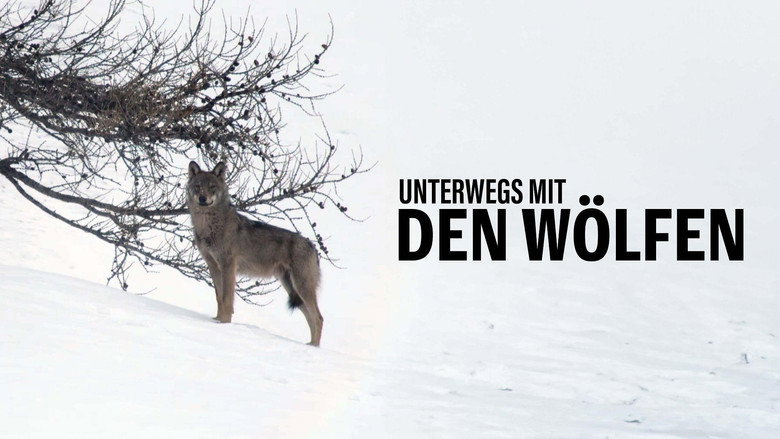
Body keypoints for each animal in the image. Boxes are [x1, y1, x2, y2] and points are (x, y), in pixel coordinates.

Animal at [186, 161, 323, 346]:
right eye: (198, 186)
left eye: (212, 187)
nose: (202, 198)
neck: (209, 226)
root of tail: (312, 245)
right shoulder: (213, 267)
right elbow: (219, 298)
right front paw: (217, 321)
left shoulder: (228, 266)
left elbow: (227, 299)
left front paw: (224, 324)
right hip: (292, 289)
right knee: (311, 319)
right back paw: (310, 345)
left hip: (302, 287)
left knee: (318, 318)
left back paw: (314, 346)